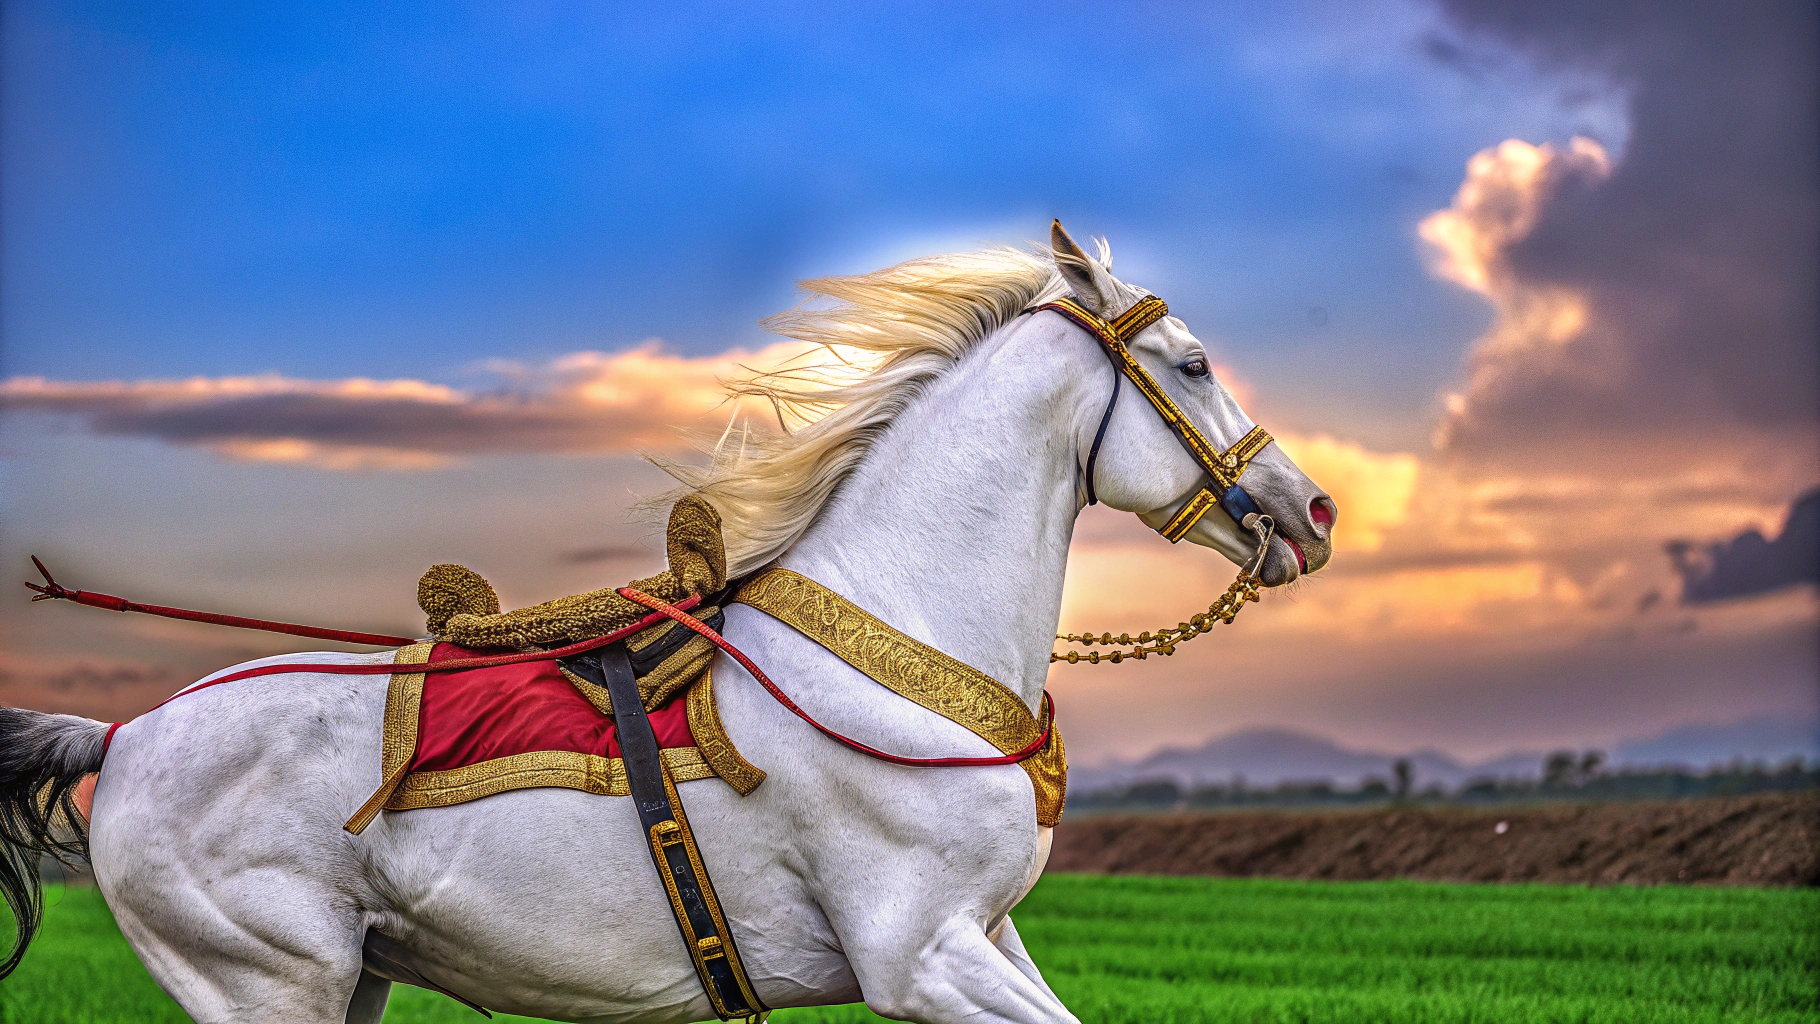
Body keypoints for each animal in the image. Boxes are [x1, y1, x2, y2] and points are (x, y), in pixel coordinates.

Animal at [0, 222, 1335, 1023]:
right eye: (1192, 361)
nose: (1312, 511)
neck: (890, 662)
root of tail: (123, 737)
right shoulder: (918, 954)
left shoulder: (987, 938)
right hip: (266, 985)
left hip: (348, 982)